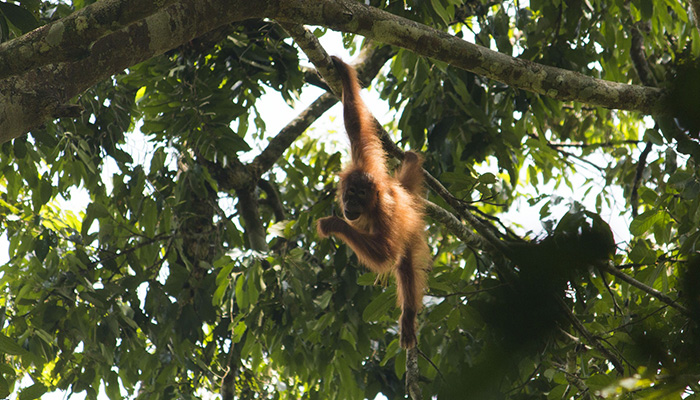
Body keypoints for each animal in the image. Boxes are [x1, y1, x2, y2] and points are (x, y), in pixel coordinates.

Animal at [317, 56, 431, 349]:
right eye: (350, 193)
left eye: (360, 196)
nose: (350, 206)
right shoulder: (365, 162)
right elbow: (355, 123)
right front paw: (343, 72)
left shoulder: (385, 213)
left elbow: (385, 253)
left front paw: (333, 224)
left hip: (410, 231)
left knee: (405, 266)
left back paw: (408, 316)